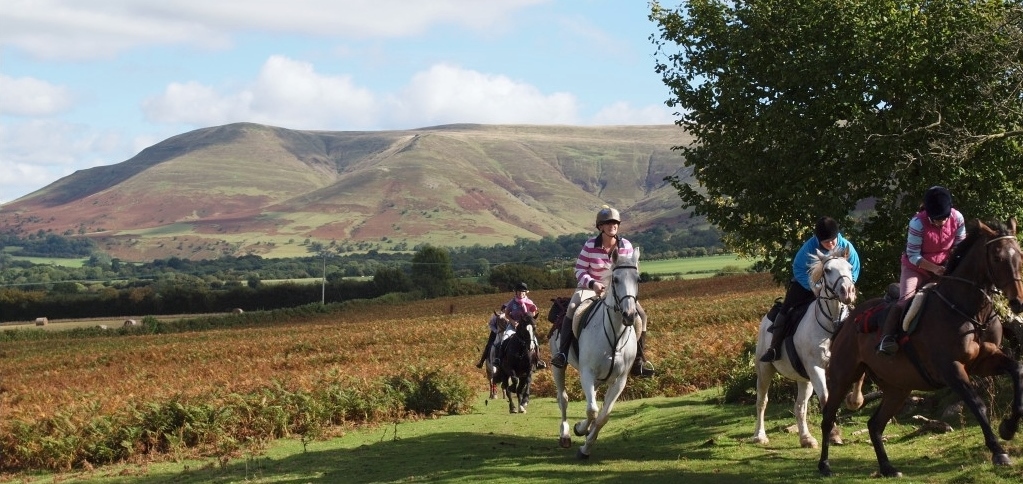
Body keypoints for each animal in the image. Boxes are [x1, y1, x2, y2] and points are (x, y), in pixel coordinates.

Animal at [552, 247, 638, 458]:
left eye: (637, 278)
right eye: (615, 279)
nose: (630, 315)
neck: (614, 336)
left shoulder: (619, 380)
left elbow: (603, 416)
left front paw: (587, 445)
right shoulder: (587, 373)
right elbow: (592, 410)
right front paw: (580, 431)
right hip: (558, 367)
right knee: (563, 399)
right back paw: (565, 435)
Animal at [752, 250, 855, 446]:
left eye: (850, 268)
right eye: (828, 270)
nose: (847, 292)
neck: (831, 327)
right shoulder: (816, 368)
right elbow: (826, 398)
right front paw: (833, 433)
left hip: (804, 379)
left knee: (800, 407)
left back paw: (806, 438)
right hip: (765, 369)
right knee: (762, 401)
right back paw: (760, 436)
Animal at [818, 217, 1023, 474]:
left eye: (1019, 255)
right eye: (997, 257)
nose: (1017, 302)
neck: (969, 310)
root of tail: (846, 323)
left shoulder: (984, 360)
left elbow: (1017, 370)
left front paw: (1009, 427)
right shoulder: (951, 369)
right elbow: (978, 405)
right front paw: (998, 451)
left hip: (898, 387)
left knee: (875, 424)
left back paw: (888, 468)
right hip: (843, 376)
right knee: (828, 417)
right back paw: (825, 465)